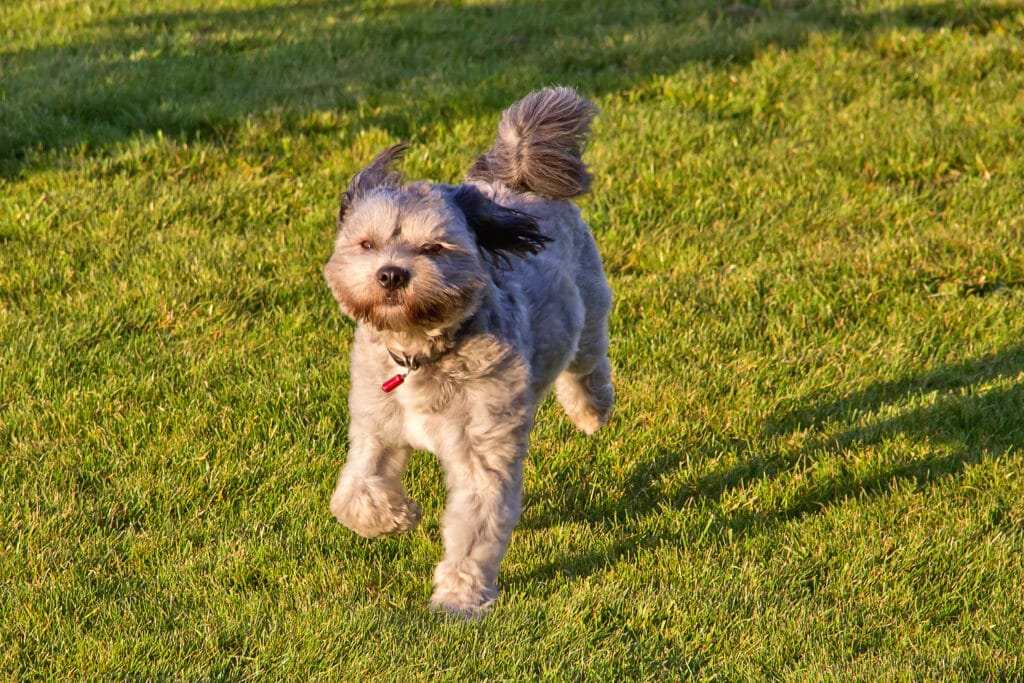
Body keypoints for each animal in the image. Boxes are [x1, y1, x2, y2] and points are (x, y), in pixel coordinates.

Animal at [323, 85, 610, 614]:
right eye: (367, 244)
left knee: (588, 364)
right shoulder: (376, 424)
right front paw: (399, 515)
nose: (391, 273)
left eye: (434, 248)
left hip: (588, 311)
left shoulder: (482, 450)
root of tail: (514, 177)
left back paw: (590, 412)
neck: (421, 352)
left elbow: (474, 531)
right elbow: (352, 494)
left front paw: (458, 600)